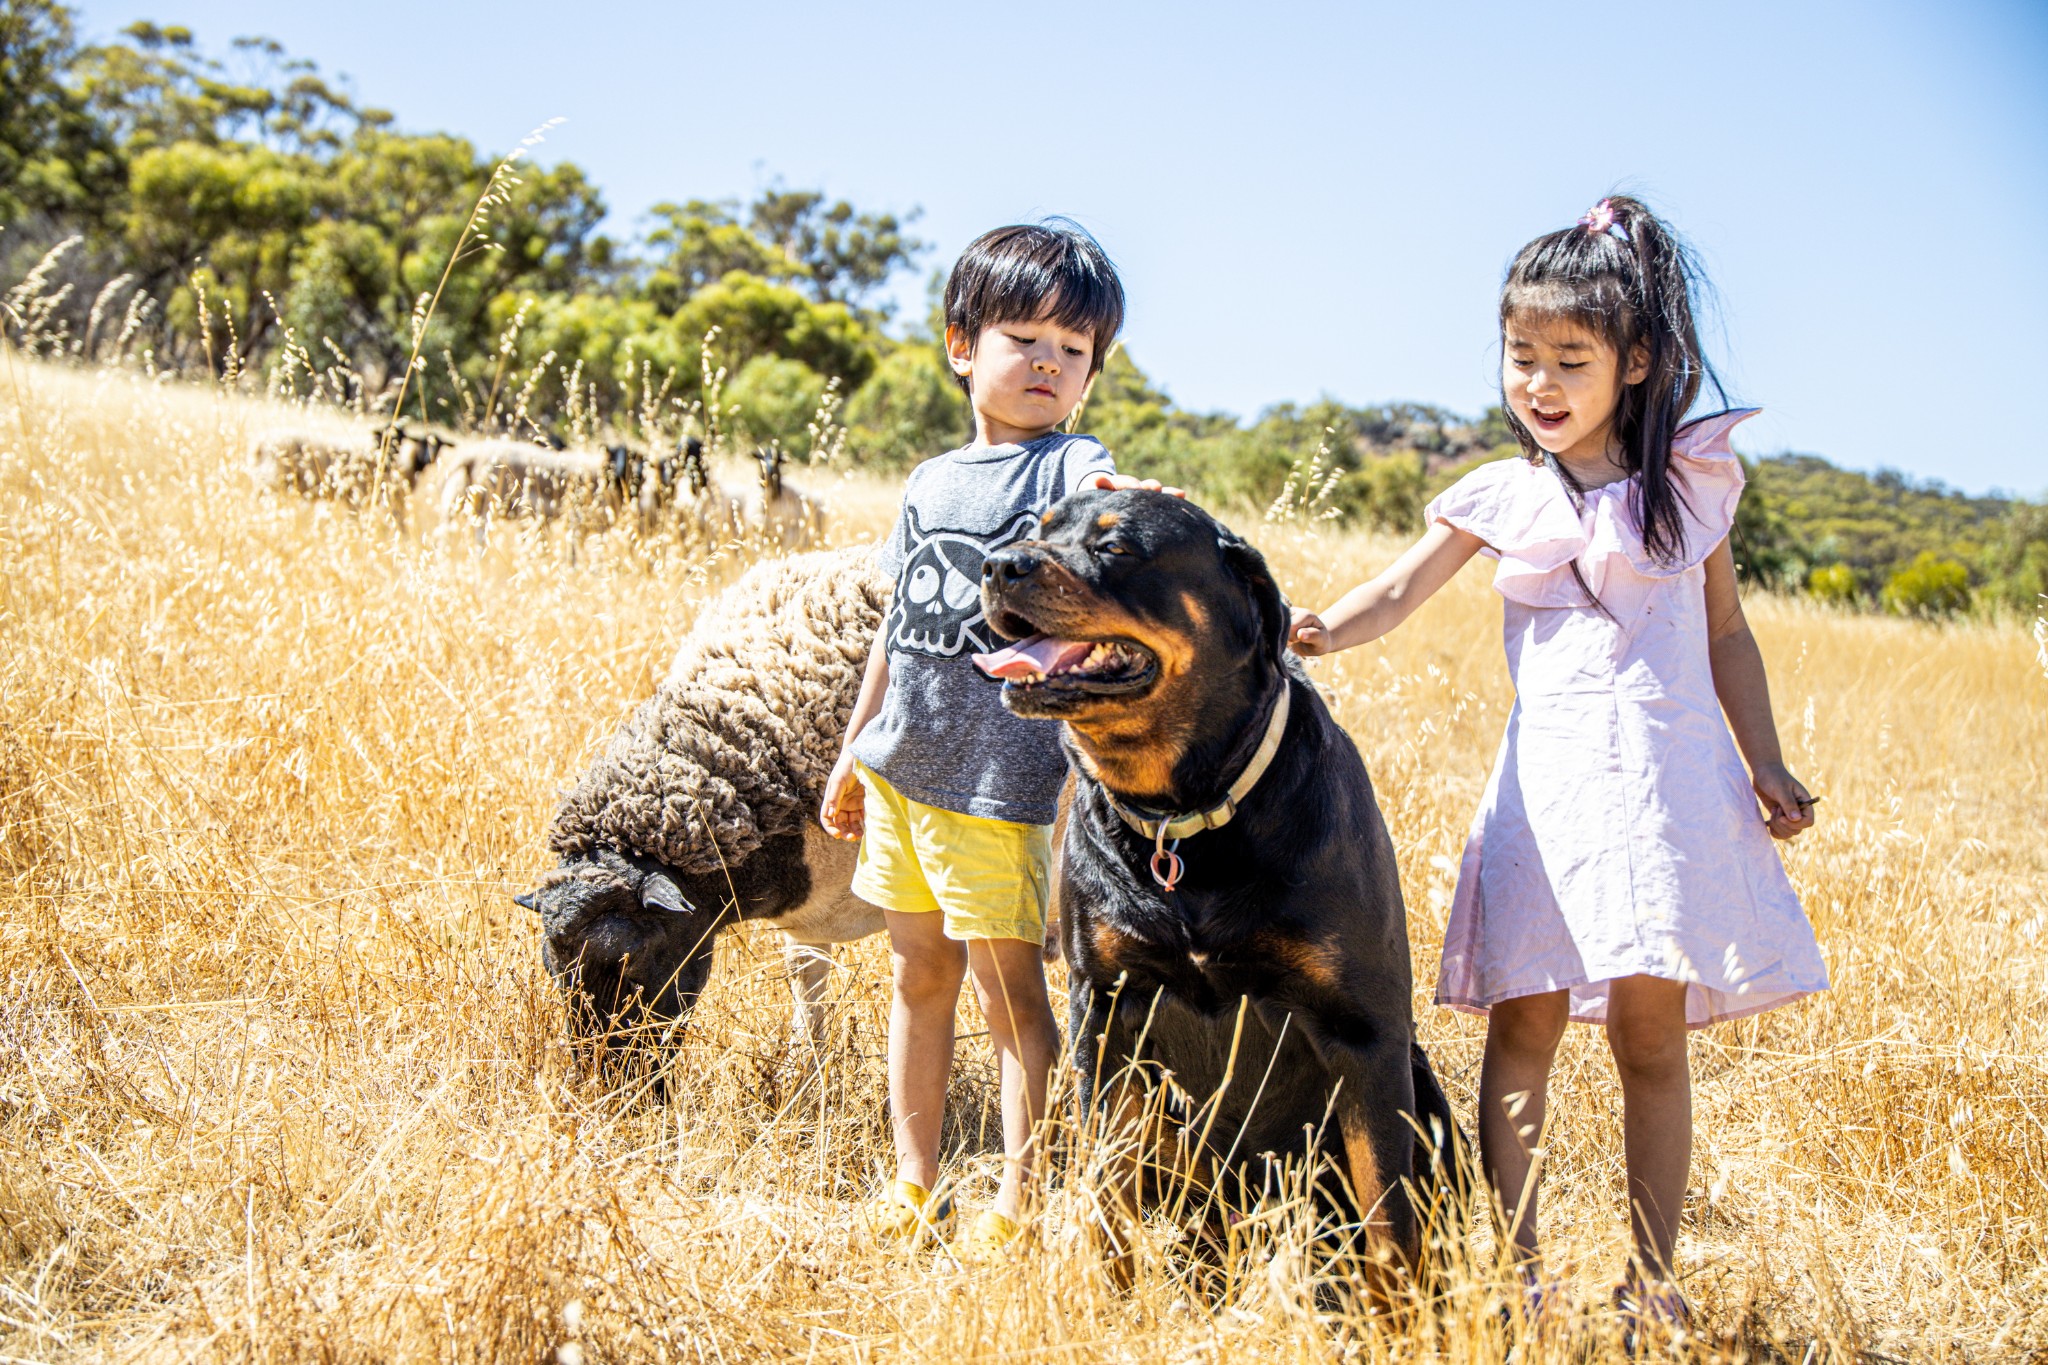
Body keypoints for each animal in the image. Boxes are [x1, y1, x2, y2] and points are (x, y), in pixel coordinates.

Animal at [512, 548, 888, 1055]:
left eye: (630, 960)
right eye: (552, 970)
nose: (610, 1077)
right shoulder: (808, 925)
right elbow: (808, 1002)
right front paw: (804, 1073)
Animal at [970, 489, 1458, 1285]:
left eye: (1117, 548)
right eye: (1037, 531)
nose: (998, 565)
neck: (1184, 819)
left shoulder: (1366, 1034)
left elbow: (1389, 1220)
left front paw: (1398, 1312)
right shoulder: (1104, 1010)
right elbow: (1107, 1190)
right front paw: (1110, 1292)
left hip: (1422, 1089)